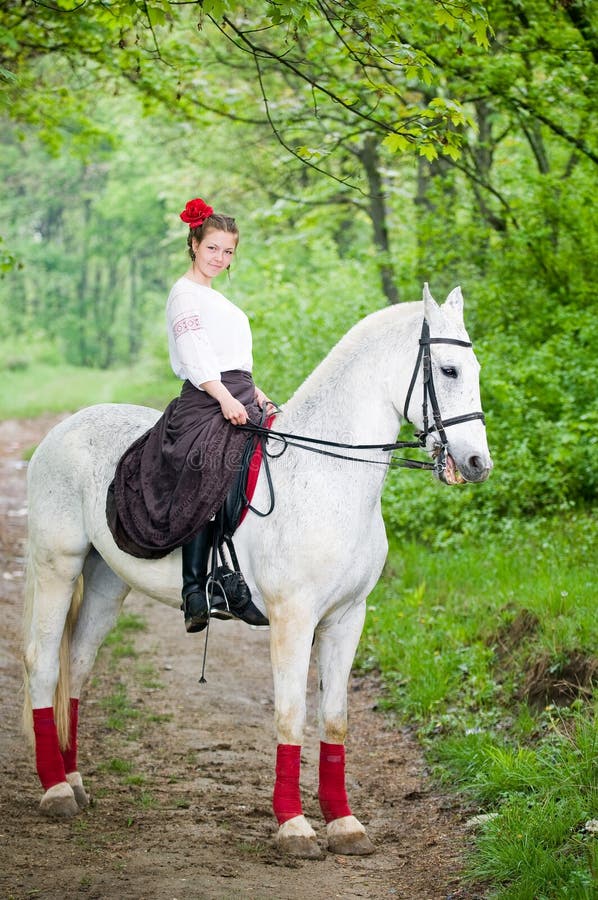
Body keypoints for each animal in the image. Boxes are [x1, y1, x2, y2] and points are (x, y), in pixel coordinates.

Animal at [22, 284, 492, 856]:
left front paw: (344, 823)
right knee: (43, 662)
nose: (477, 464)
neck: (328, 474)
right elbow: (290, 715)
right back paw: (54, 792)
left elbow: (334, 719)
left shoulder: (347, 618)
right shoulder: (294, 618)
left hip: (109, 582)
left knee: (79, 664)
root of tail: (63, 429)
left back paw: (73, 781)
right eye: (448, 370)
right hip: (58, 564)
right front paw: (293, 825)